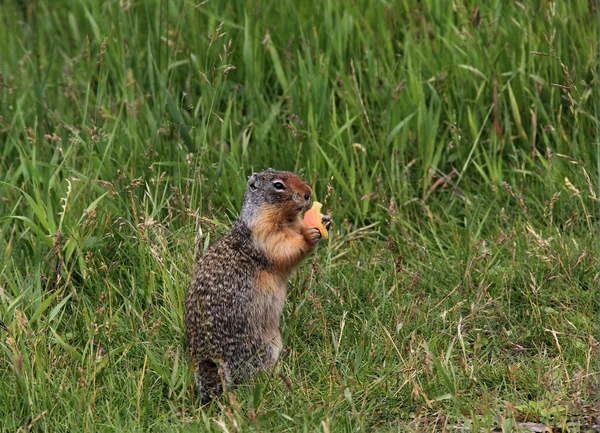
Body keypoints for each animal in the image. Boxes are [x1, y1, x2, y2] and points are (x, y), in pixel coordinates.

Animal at [185, 167, 330, 396]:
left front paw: (324, 219)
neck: (287, 219)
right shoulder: (264, 233)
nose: (308, 193)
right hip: (259, 348)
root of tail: (205, 356)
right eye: (278, 185)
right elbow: (284, 247)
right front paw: (309, 234)